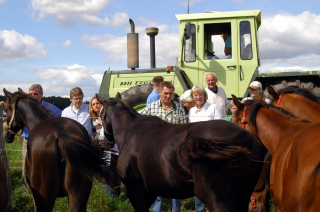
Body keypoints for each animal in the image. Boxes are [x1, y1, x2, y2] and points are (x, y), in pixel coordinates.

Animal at [96, 93, 266, 211]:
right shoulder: (150, 191)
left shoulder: (136, 191)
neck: (129, 130)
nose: (105, 141)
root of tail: (247, 138)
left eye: (100, 114)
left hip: (217, 200)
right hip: (243, 197)